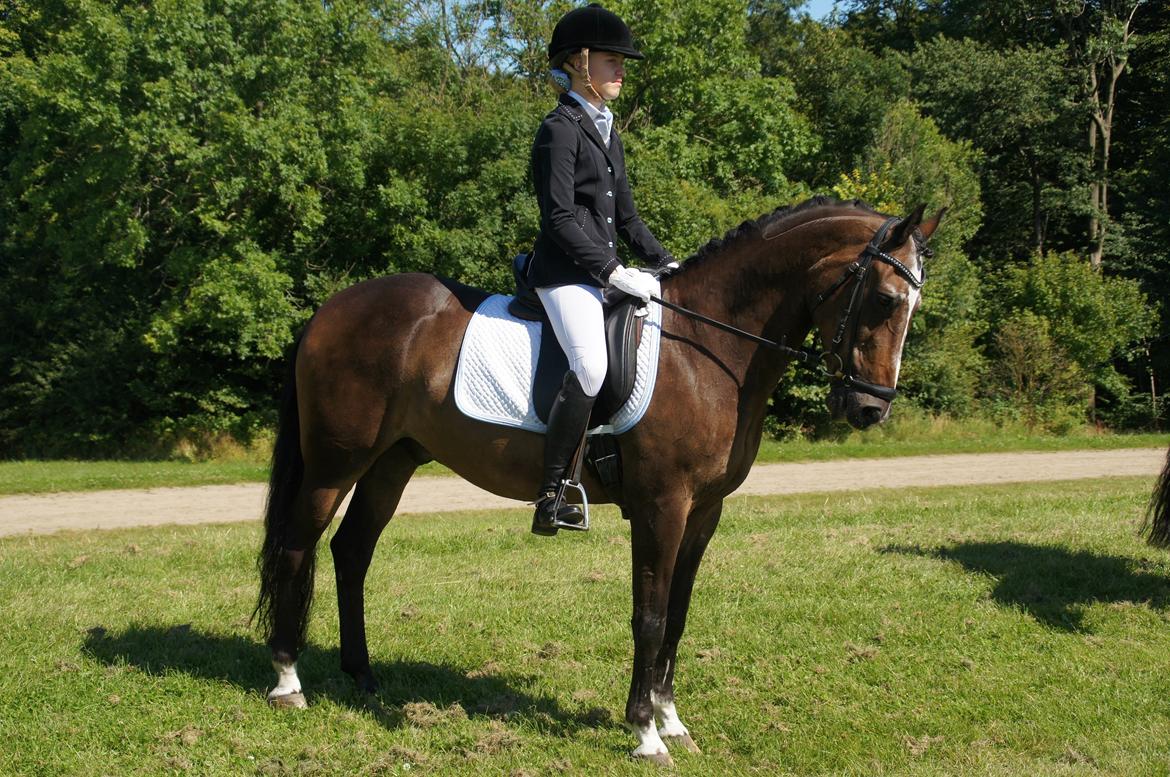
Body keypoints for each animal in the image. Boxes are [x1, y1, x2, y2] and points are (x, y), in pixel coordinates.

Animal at [254, 196, 943, 765]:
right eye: (885, 298)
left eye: (914, 304)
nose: (871, 410)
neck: (707, 347)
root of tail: (331, 309)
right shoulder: (663, 506)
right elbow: (650, 614)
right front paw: (644, 733)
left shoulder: (704, 511)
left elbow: (679, 613)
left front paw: (672, 720)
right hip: (336, 463)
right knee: (297, 547)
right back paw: (288, 681)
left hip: (392, 461)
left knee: (351, 552)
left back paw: (364, 678)